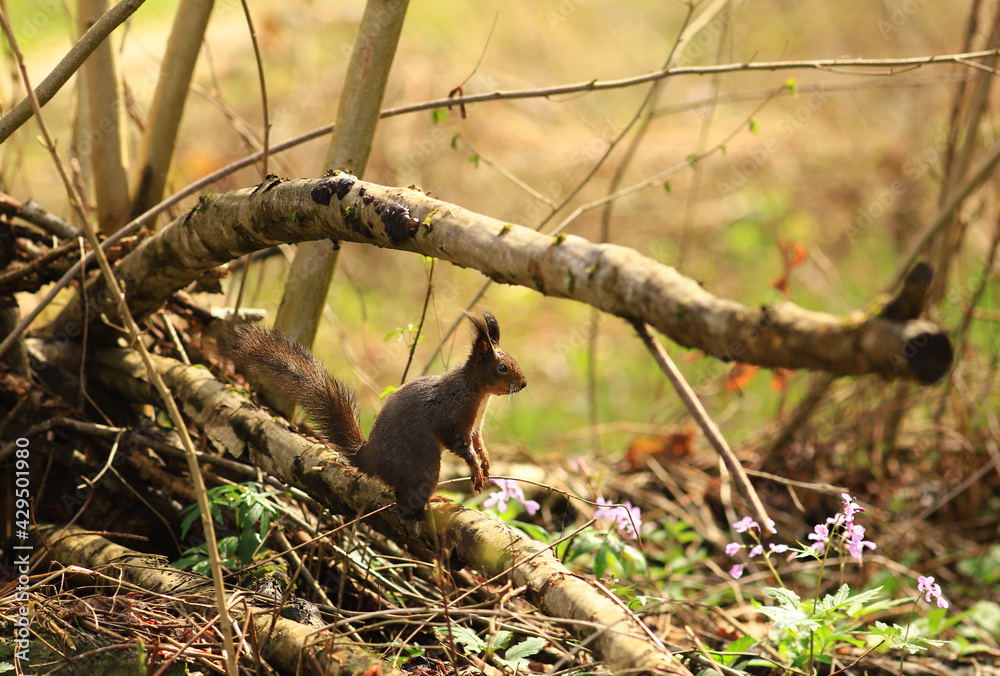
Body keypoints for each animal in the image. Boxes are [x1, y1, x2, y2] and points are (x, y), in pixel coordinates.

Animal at [220, 307, 526, 519]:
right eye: (502, 368)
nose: (523, 383)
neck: (478, 392)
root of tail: (371, 460)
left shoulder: (475, 424)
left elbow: (478, 441)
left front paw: (485, 460)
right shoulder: (452, 416)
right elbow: (460, 445)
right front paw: (475, 469)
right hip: (423, 465)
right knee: (406, 500)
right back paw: (433, 502)